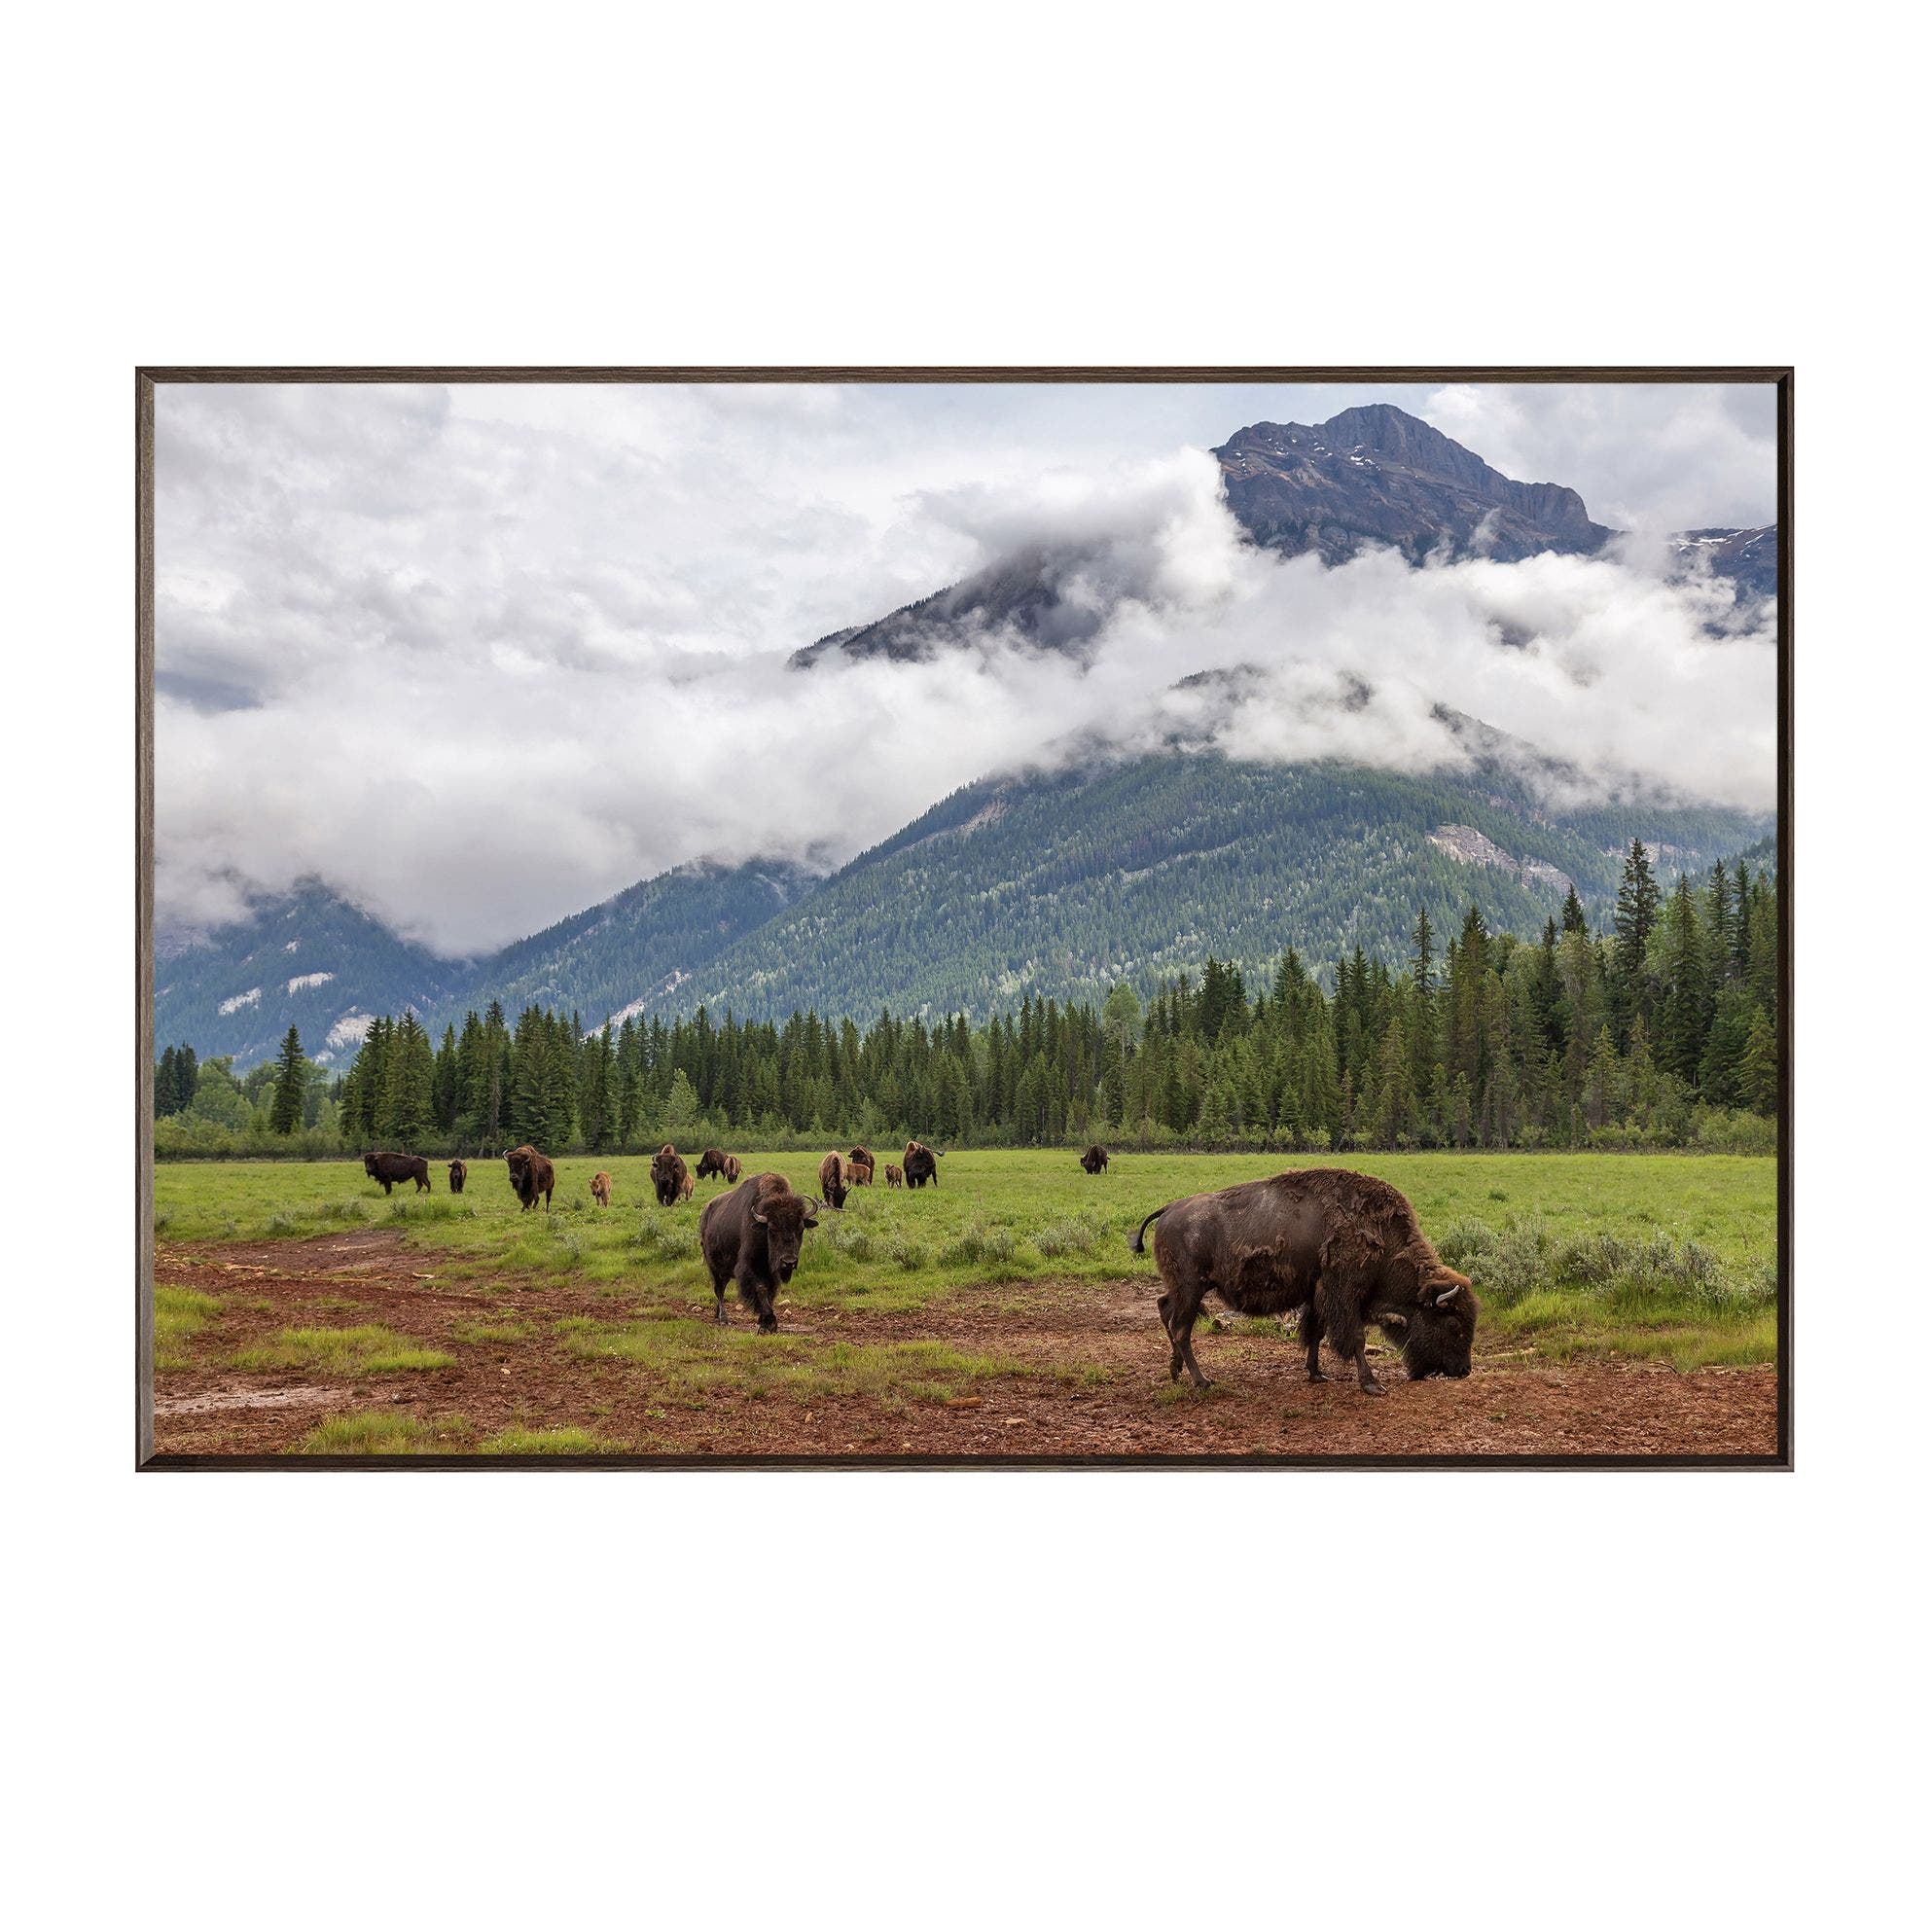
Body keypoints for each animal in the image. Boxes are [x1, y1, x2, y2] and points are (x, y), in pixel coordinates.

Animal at [699, 1172, 822, 1332]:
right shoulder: (750, 1266)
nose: (789, 1262)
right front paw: (769, 1323)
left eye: (801, 1228)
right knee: (719, 1289)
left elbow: (770, 1292)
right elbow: (761, 1288)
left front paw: (764, 1321)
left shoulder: (771, 1272)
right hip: (714, 1267)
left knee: (721, 1288)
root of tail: (705, 1214)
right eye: (772, 1228)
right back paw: (723, 1319)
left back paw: (716, 1314)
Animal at [1131, 1168, 1477, 1394]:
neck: (1382, 1239)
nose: (1463, 1370)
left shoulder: (1318, 1294)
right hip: (1192, 1288)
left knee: (1165, 1308)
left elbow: (1315, 1333)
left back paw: (1175, 1371)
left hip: (1182, 1288)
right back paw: (1202, 1381)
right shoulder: (1344, 1295)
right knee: (1181, 1328)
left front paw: (1317, 1374)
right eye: (1452, 1323)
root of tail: (1170, 1208)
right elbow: (1355, 1338)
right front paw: (1372, 1384)